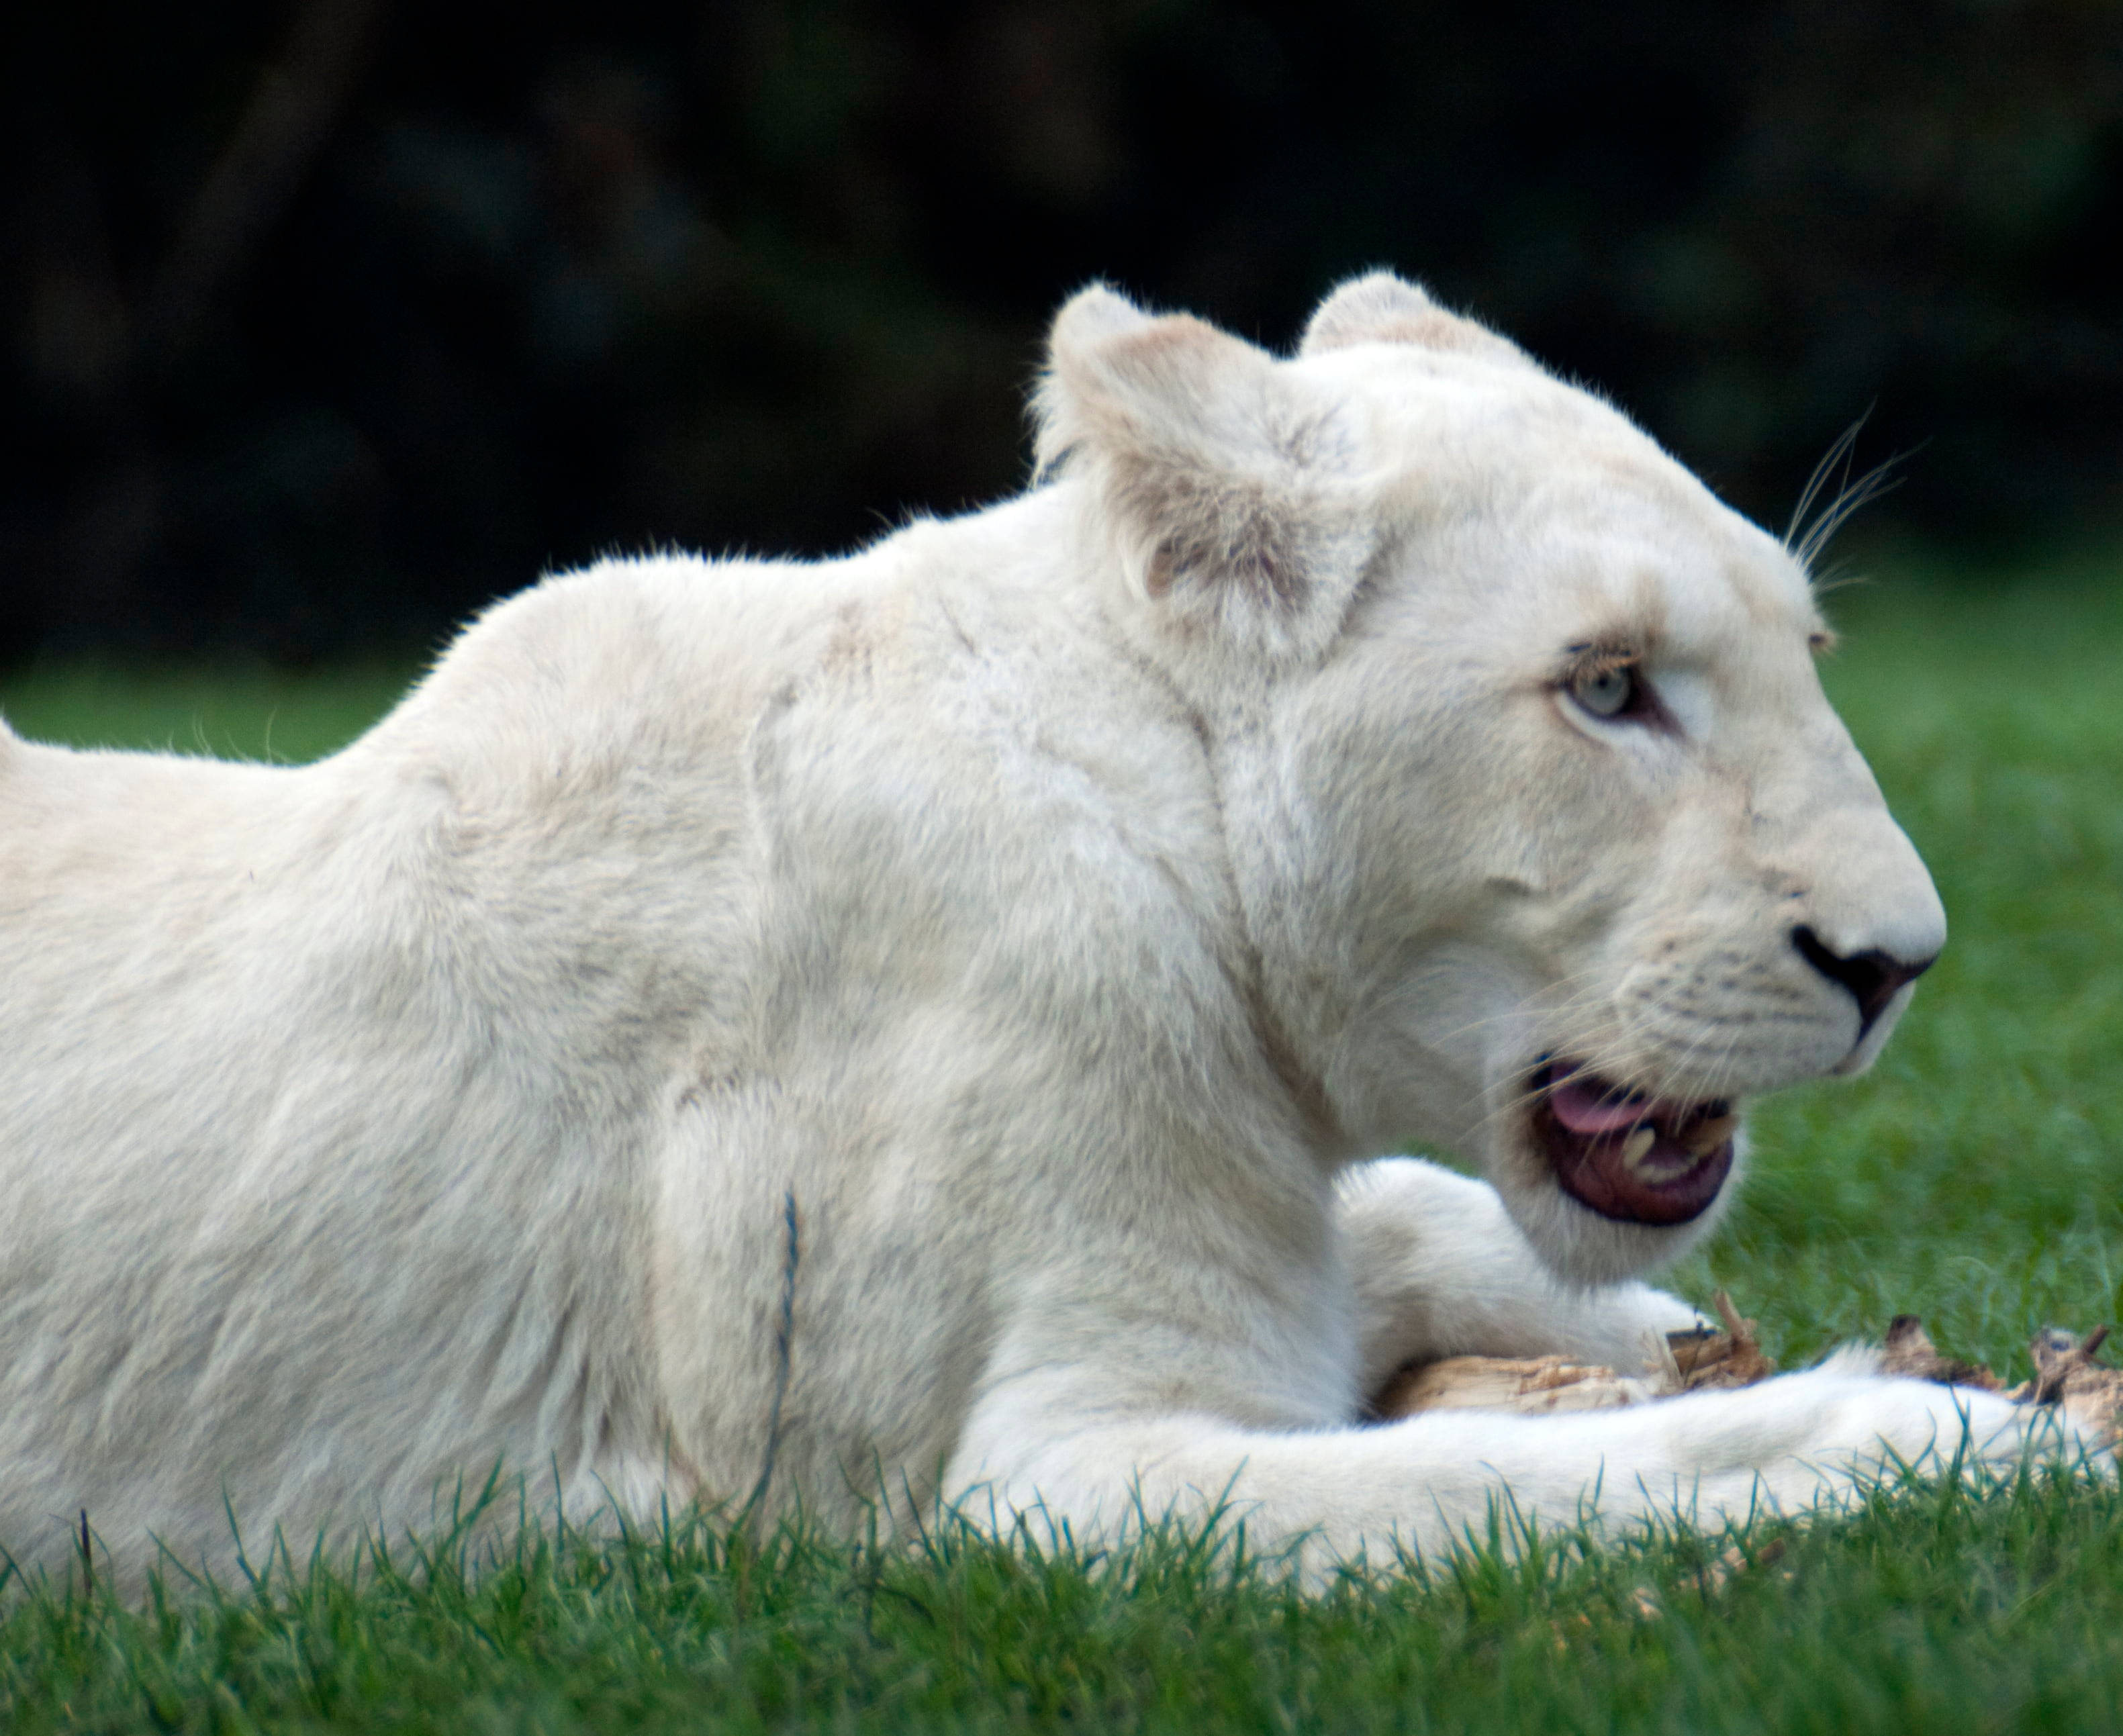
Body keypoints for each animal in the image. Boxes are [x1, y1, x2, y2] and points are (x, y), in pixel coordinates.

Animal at [0, 273, 2100, 1580]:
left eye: (1802, 652)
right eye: (1604, 688)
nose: (1897, 965)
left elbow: (1439, 1226)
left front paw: (1770, 1344)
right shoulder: (1043, 1490)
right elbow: (1516, 1465)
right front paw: (1950, 1445)